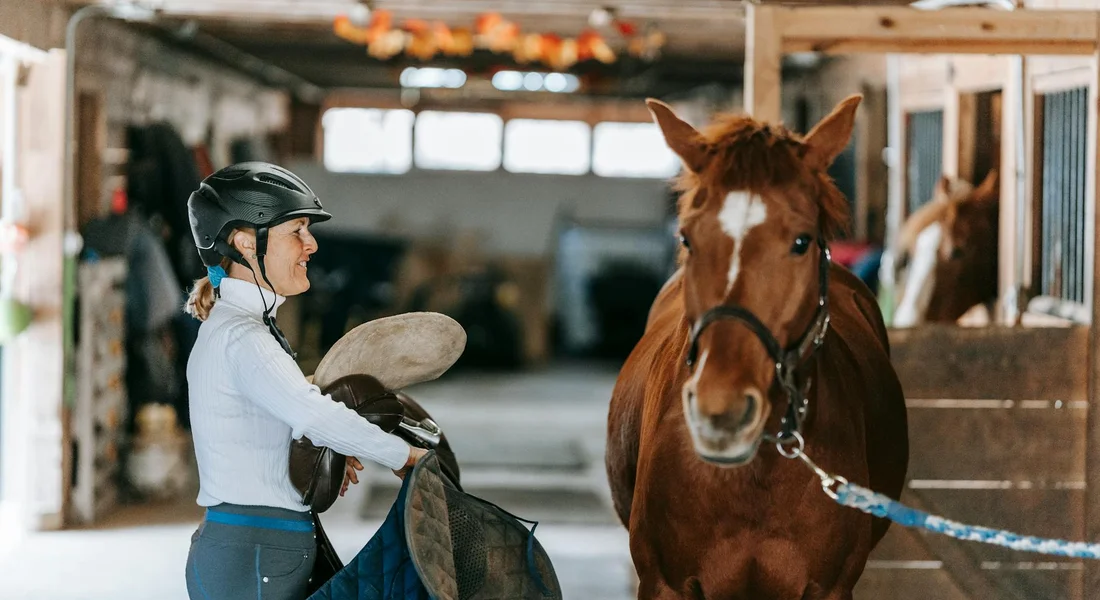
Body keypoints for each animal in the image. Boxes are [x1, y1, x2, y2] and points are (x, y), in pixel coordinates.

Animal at [605, 95, 909, 600]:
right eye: (687, 237)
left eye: (801, 242)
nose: (720, 409)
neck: (754, 477)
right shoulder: (663, 584)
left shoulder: (830, 588)